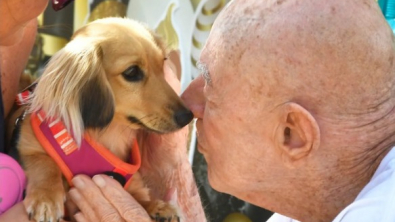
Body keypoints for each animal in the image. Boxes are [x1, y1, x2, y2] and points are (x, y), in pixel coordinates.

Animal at [14, 17, 194, 222]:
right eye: (132, 72)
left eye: (162, 63)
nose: (187, 117)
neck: (111, 135)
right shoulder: (30, 144)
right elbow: (44, 163)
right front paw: (46, 199)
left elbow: (136, 198)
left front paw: (156, 206)